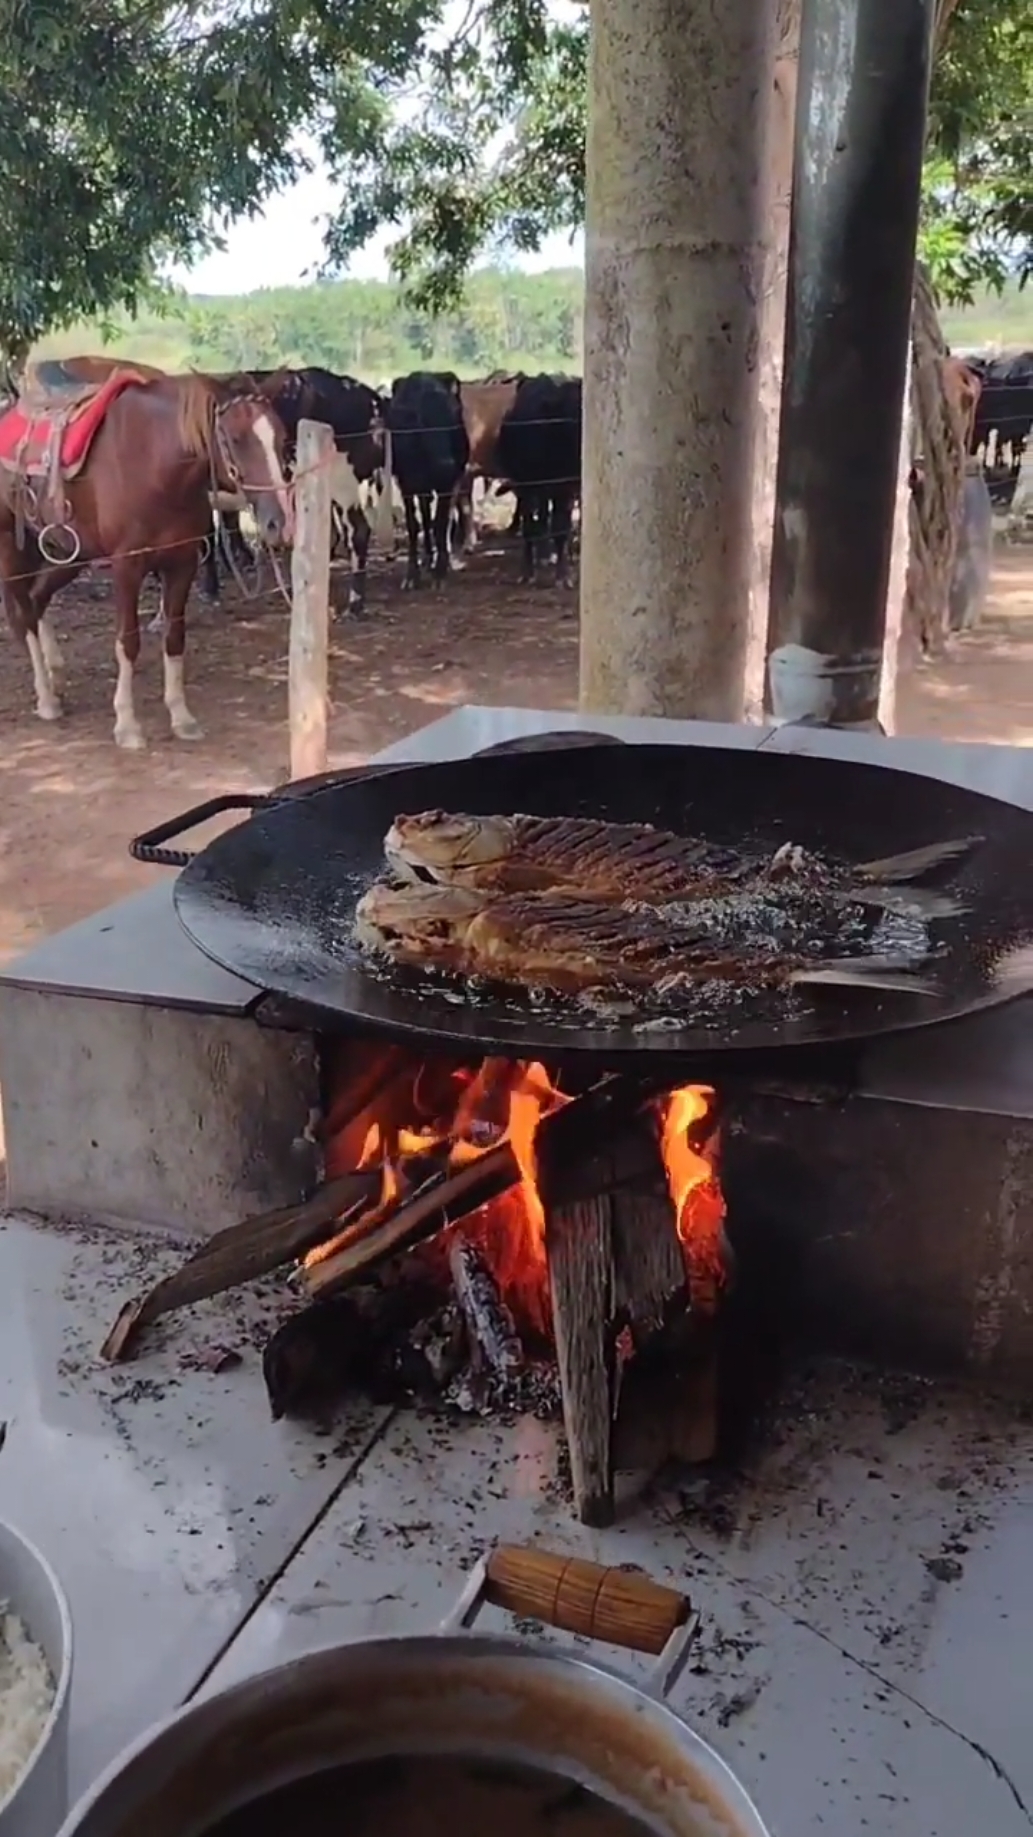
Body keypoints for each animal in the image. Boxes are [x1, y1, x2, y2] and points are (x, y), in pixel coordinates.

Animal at [0, 365, 290, 745]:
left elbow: (174, 637)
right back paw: (47, 697)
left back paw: (56, 676)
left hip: (70, 553)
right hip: (12, 545)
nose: (278, 523)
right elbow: (128, 642)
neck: (155, 464)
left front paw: (181, 717)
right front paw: (127, 725)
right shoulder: (127, 567)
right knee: (25, 612)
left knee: (37, 600)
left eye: (282, 438)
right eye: (236, 438)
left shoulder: (182, 563)